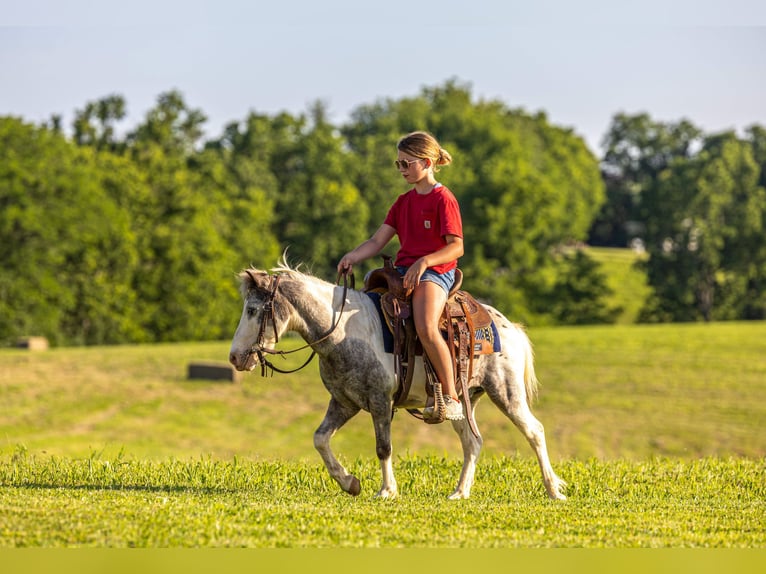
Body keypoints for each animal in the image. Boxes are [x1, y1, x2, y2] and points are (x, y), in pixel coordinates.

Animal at [228, 260, 567, 500]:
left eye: (253, 310)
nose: (234, 357)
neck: (344, 333)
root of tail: (508, 326)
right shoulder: (344, 402)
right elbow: (320, 439)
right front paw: (350, 483)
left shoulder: (380, 400)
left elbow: (383, 447)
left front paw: (387, 490)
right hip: (463, 401)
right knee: (473, 441)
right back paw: (459, 492)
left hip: (506, 393)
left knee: (534, 431)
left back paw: (553, 490)